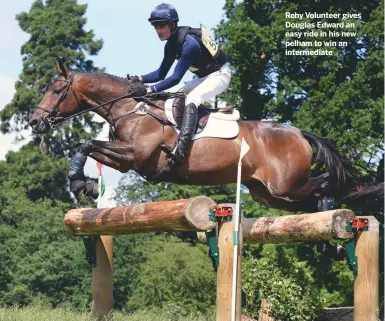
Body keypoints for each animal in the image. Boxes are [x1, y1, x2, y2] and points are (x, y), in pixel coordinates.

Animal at [29, 62, 380, 212]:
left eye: (57, 91)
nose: (35, 122)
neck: (131, 108)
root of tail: (298, 133)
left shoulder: (136, 156)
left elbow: (86, 143)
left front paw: (80, 183)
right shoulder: (129, 161)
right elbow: (85, 146)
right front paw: (83, 183)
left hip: (283, 185)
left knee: (327, 183)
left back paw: (331, 209)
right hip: (268, 193)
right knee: (304, 199)